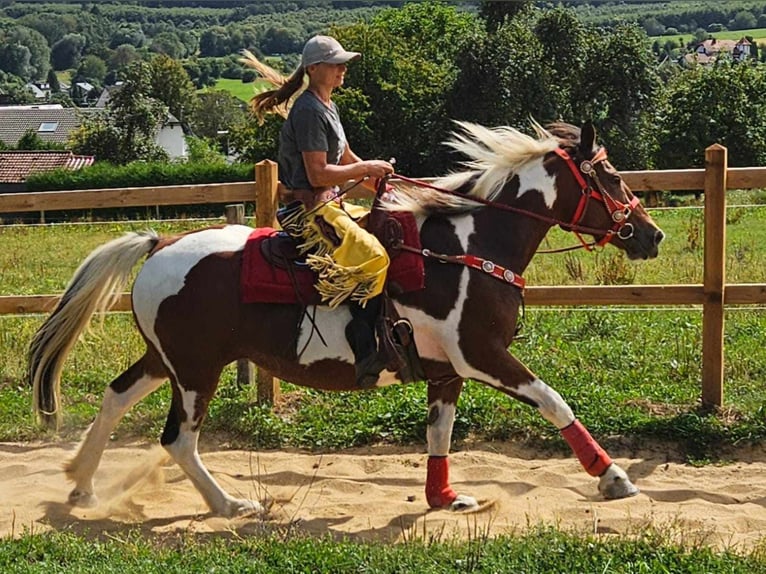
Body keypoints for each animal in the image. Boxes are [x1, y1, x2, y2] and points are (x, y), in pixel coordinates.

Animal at [31, 120, 664, 516]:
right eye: (609, 176)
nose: (650, 234)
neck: (467, 247)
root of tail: (161, 245)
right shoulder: (481, 355)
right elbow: (556, 402)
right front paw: (613, 476)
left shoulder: (447, 371)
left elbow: (439, 433)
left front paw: (444, 498)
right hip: (195, 371)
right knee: (178, 440)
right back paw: (231, 504)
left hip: (168, 360)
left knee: (116, 396)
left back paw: (81, 484)